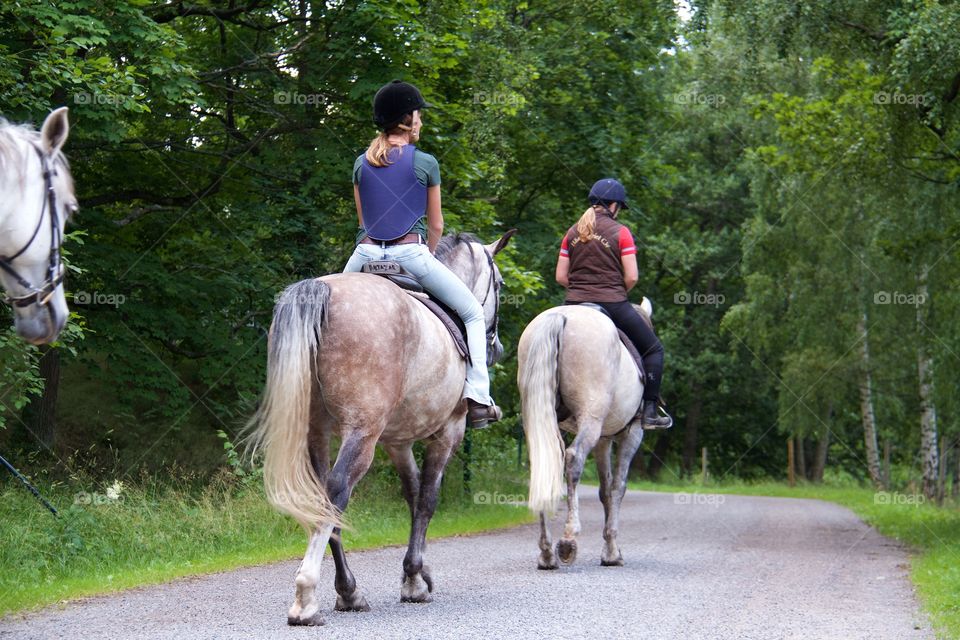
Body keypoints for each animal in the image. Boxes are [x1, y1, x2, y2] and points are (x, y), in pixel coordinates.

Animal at [516, 302, 652, 568]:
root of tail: (561, 317)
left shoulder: (603, 440)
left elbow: (605, 489)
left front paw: (610, 548)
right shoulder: (632, 434)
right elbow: (617, 487)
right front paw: (612, 551)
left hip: (542, 418)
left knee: (545, 464)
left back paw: (546, 552)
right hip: (591, 418)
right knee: (573, 459)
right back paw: (568, 540)